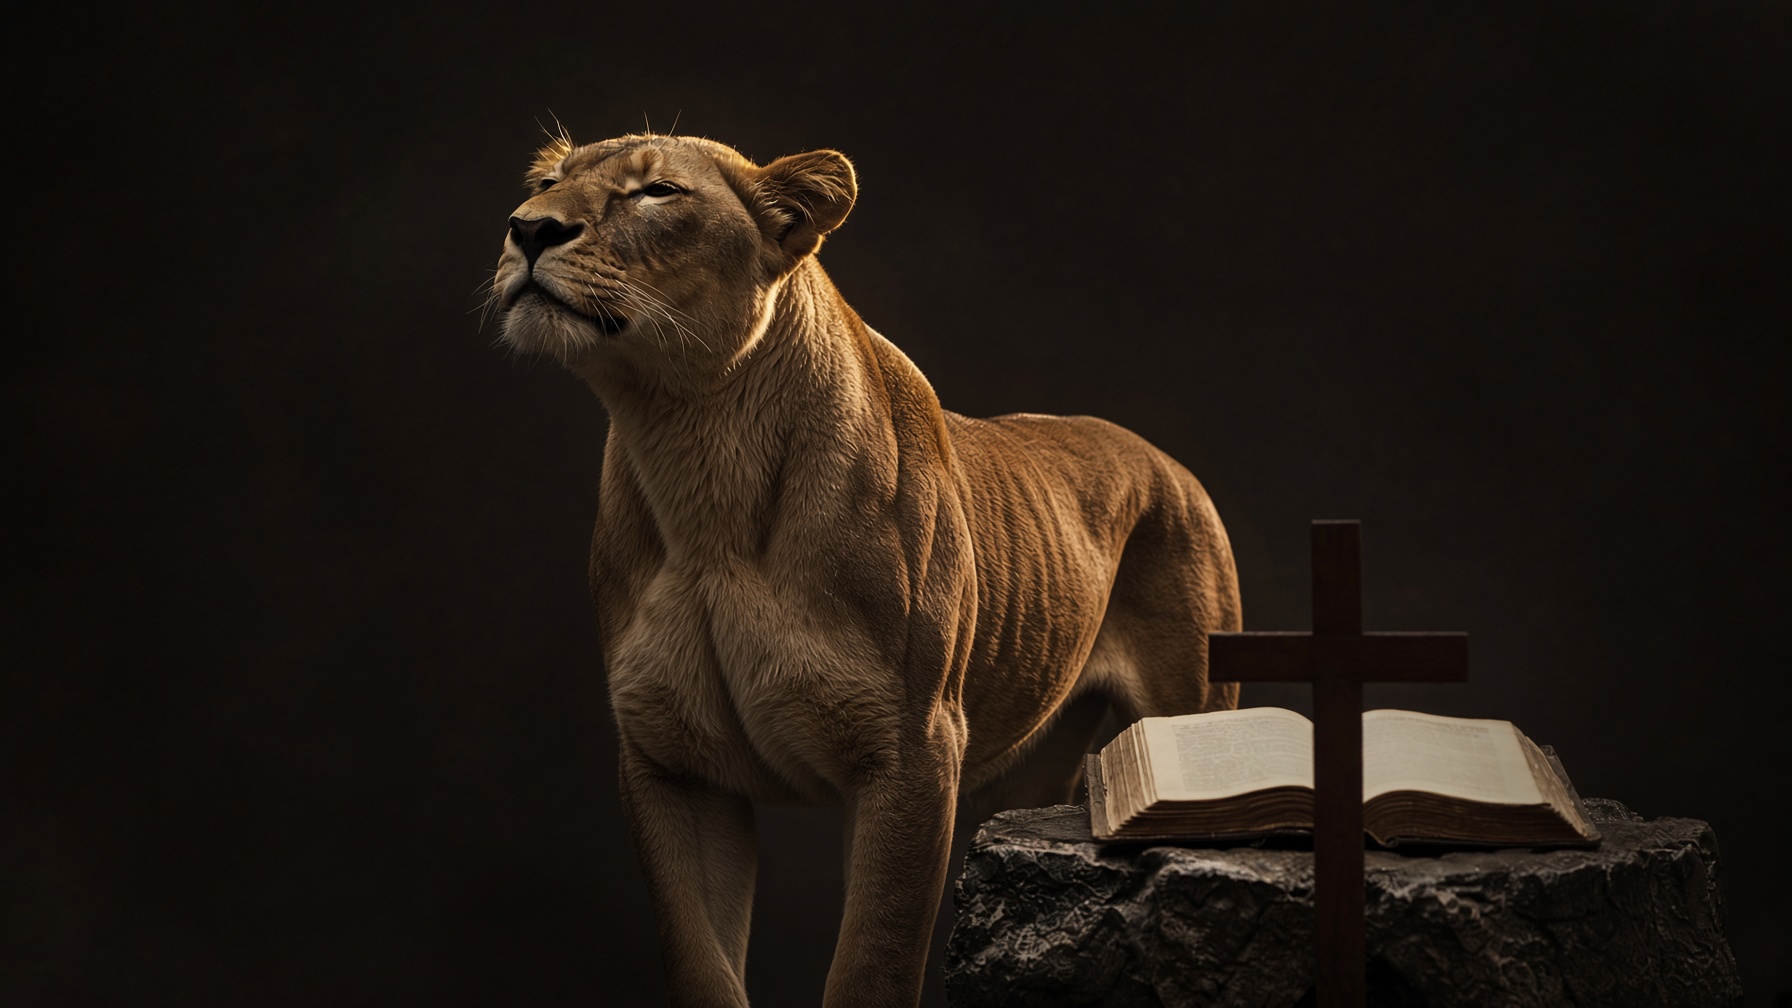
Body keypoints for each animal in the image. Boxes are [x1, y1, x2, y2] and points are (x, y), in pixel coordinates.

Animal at [492, 132, 1241, 1007]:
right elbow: (701, 964)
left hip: (1188, 702)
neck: (697, 459)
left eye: (657, 192)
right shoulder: (670, 763)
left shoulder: (911, 751)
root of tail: (1166, 464)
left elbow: (872, 962)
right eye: (547, 181)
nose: (528, 229)